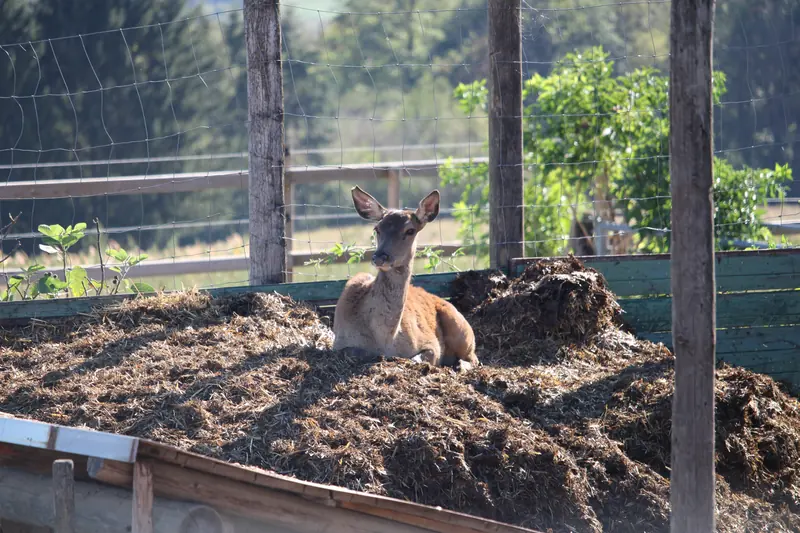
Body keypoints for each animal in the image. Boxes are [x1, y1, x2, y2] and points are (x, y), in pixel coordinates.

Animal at [332, 186, 479, 371]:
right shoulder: (339, 342)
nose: (380, 257)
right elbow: (352, 352)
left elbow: (417, 358)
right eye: (377, 229)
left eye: (410, 230)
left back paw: (460, 365)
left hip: (461, 328)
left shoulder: (430, 343)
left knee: (474, 358)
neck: (385, 339)